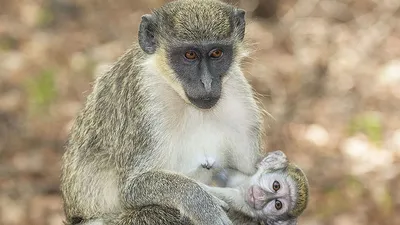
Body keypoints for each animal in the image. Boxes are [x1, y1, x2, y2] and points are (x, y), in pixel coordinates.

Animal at [60, 0, 262, 225]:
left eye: (217, 53)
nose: (207, 83)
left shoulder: (241, 102)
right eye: (190, 55)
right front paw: (201, 204)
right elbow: (131, 188)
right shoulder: (144, 103)